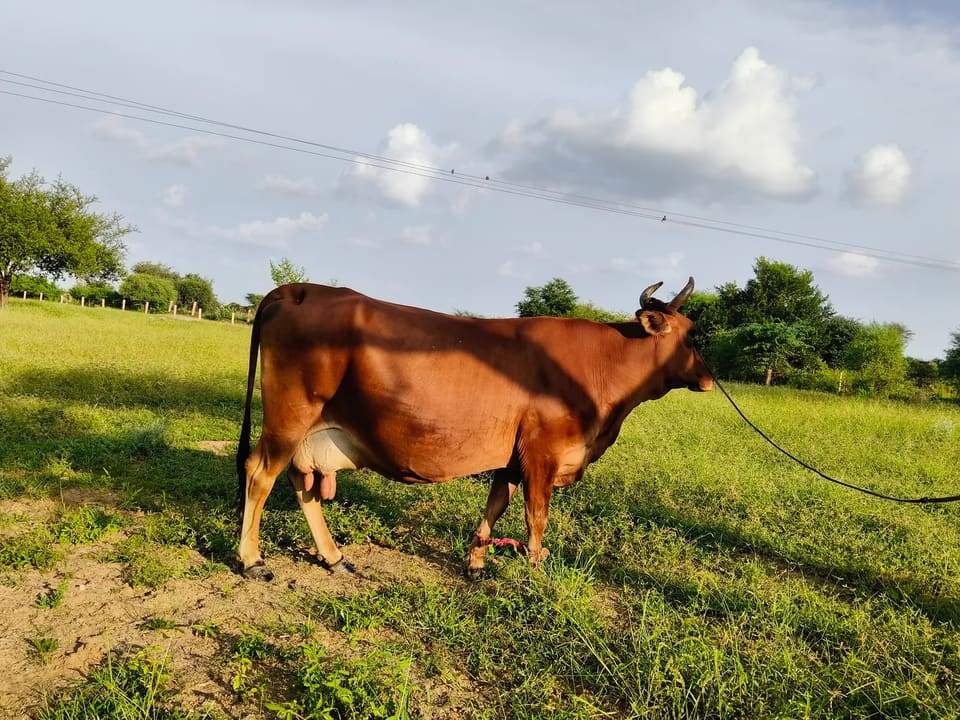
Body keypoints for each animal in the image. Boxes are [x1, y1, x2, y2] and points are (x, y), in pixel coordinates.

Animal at [236, 277, 713, 580]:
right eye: (692, 338)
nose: (709, 379)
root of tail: (302, 289)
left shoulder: (512, 457)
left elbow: (497, 505)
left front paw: (477, 564)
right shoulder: (543, 454)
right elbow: (537, 517)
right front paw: (536, 572)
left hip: (312, 430)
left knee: (301, 483)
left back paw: (334, 556)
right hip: (289, 417)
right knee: (260, 473)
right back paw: (252, 560)